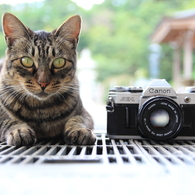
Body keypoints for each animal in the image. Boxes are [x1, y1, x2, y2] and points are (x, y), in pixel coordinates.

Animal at [0, 12, 96, 146]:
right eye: (26, 61)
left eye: (59, 62)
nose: (43, 83)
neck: (41, 110)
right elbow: (9, 121)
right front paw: (19, 130)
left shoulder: (85, 114)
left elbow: (77, 119)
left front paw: (80, 130)